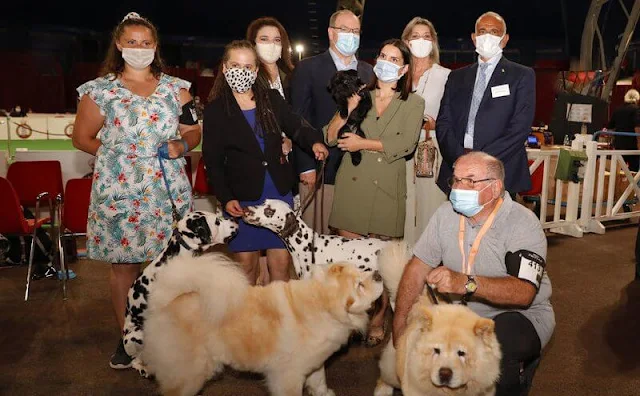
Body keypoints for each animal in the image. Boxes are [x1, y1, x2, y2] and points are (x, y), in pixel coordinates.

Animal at [142, 254, 382, 396]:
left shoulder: (315, 362)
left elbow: (319, 381)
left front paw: (325, 393)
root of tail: (165, 302)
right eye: (360, 285)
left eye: (363, 271)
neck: (321, 305)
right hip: (188, 373)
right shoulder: (287, 375)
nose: (378, 274)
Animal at [372, 241, 502, 396]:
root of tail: (422, 297)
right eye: (436, 350)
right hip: (393, 367)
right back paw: (382, 390)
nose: (444, 373)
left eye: (461, 353)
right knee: (385, 375)